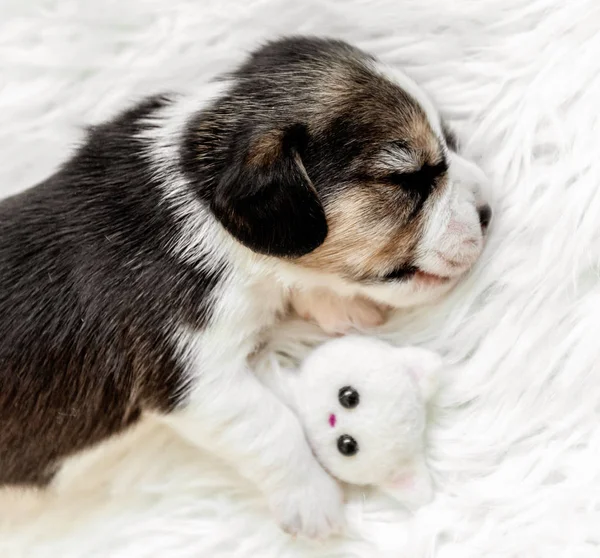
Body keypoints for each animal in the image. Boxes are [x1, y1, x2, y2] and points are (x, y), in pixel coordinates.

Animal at [0, 37, 488, 540]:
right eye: (408, 178)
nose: (488, 210)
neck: (203, 197)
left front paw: (338, 302)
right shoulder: (193, 376)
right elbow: (273, 426)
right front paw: (313, 501)